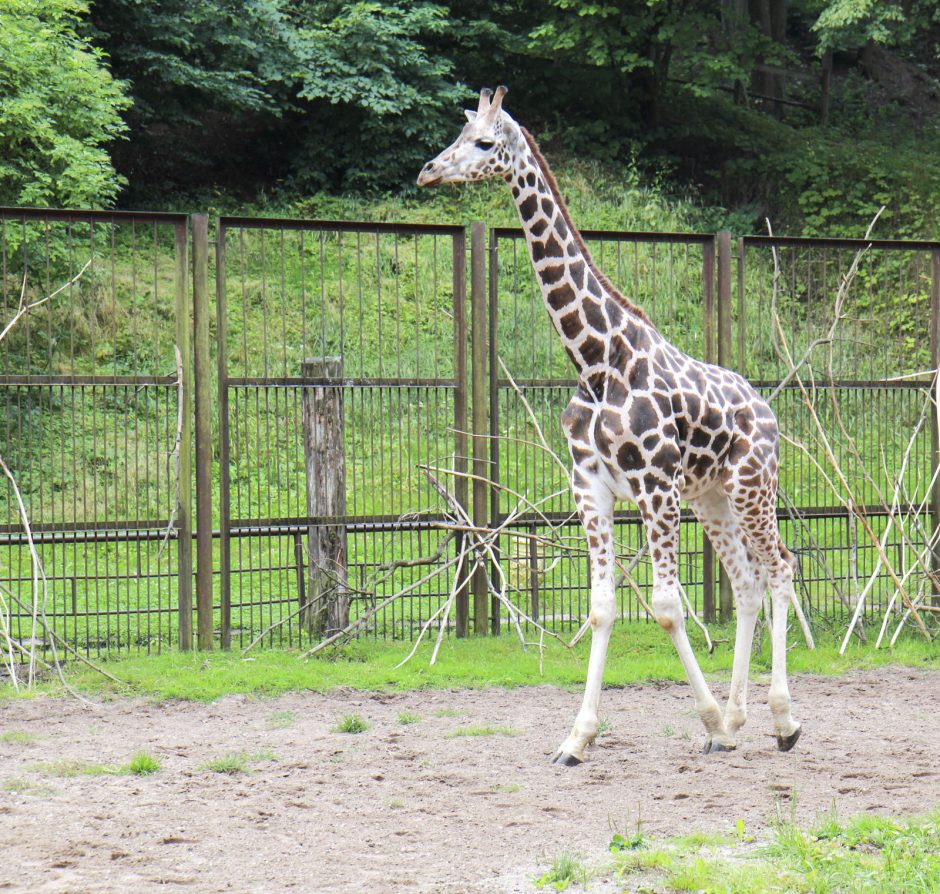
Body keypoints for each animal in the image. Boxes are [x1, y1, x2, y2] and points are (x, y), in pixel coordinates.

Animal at [418, 87, 800, 768]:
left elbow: (669, 608)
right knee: (748, 583)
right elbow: (601, 609)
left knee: (781, 567)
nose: (429, 171)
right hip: (712, 499)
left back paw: (781, 722)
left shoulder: (654, 486)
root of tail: (767, 410)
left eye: (485, 143)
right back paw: (739, 718)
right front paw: (577, 738)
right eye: (456, 136)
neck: (596, 360)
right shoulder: (591, 486)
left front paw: (705, 720)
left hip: (753, 486)